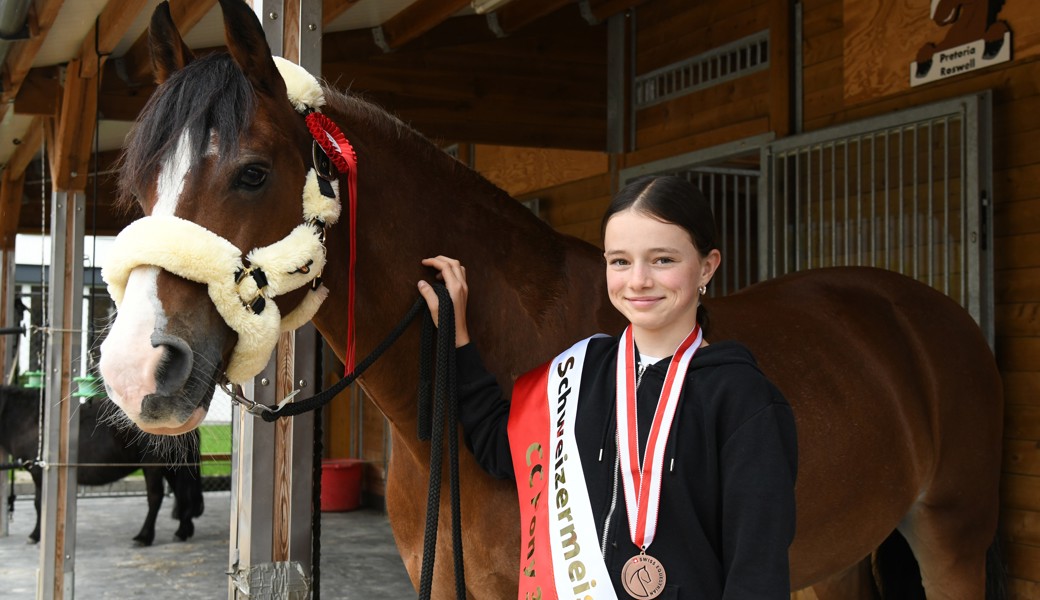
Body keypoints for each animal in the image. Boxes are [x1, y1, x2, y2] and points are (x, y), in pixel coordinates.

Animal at [0, 382, 204, 549]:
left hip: (153, 465)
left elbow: (39, 504)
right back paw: (182, 531)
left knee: (155, 497)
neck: (29, 418)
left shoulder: (38, 472)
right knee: (182, 493)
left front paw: (36, 535)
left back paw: (144, 537)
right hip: (172, 466)